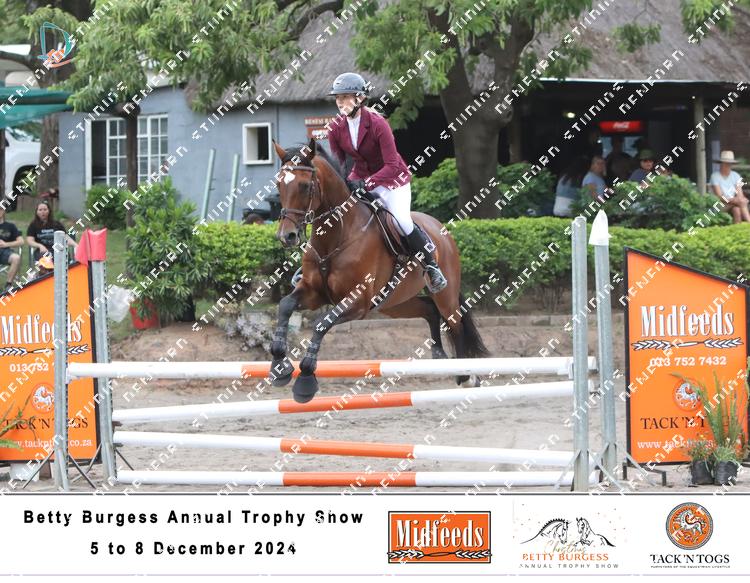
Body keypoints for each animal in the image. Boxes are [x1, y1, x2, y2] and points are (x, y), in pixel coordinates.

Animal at [269, 137, 488, 403]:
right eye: (279, 185)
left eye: (304, 186)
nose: (286, 236)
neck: (337, 234)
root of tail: (440, 228)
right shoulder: (313, 293)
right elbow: (285, 306)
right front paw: (279, 366)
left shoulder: (358, 301)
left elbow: (321, 323)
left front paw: (306, 380)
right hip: (393, 303)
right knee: (429, 309)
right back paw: (438, 354)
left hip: (444, 295)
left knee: (455, 325)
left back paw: (466, 376)